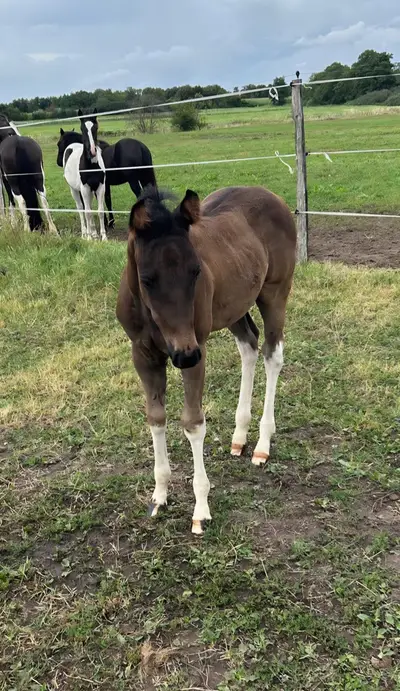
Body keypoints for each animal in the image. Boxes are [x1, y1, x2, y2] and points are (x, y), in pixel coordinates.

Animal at [58, 108, 107, 241]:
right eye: (82, 128)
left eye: (96, 127)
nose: (92, 151)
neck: (91, 166)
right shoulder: (84, 188)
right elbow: (87, 212)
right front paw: (89, 238)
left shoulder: (100, 187)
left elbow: (100, 211)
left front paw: (104, 237)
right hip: (75, 190)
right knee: (81, 208)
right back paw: (85, 233)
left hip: (90, 190)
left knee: (87, 206)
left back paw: (94, 233)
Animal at [116, 185, 297, 534]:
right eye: (147, 279)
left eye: (196, 270)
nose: (184, 355)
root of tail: (272, 196)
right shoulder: (143, 354)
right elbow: (155, 417)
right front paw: (159, 495)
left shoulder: (198, 346)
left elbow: (192, 423)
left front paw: (200, 509)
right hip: (234, 306)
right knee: (249, 346)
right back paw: (239, 436)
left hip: (274, 293)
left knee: (272, 354)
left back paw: (262, 444)